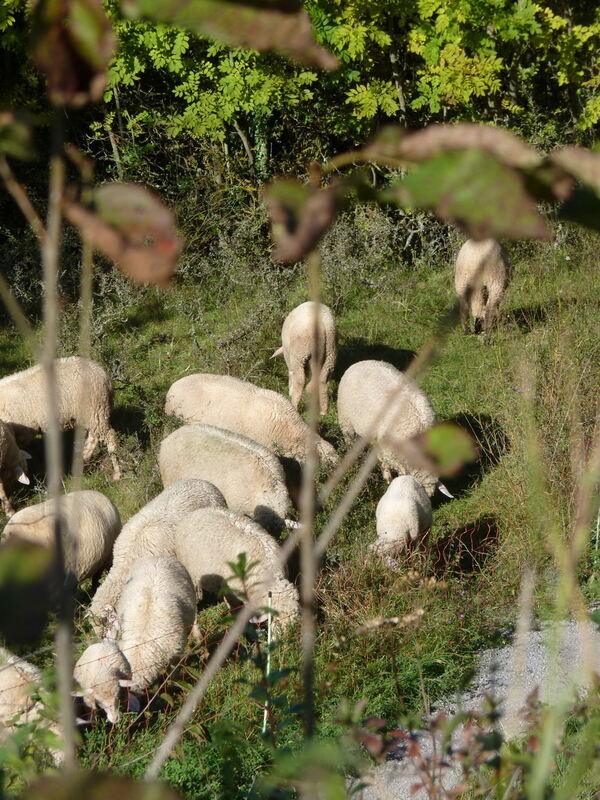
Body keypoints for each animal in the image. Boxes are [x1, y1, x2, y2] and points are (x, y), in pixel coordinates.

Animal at [338, 360, 446, 494]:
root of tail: (359, 362)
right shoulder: (388, 449)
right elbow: (388, 464)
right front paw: (388, 479)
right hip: (346, 421)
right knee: (350, 441)